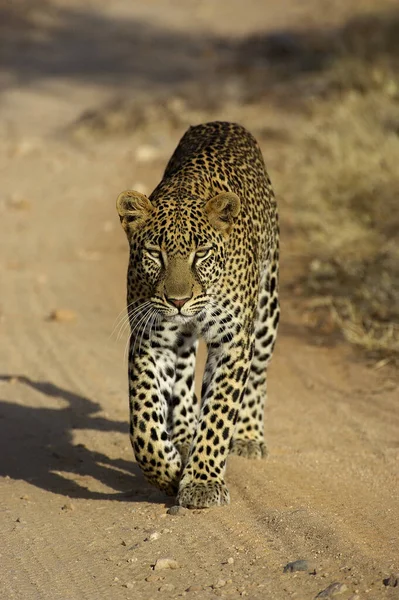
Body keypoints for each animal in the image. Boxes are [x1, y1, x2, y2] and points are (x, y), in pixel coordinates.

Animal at [116, 119, 282, 508]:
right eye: (155, 253)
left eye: (201, 253)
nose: (177, 301)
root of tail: (223, 122)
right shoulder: (151, 338)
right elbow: (144, 420)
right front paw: (167, 471)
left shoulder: (233, 341)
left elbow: (219, 412)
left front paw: (203, 482)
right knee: (182, 380)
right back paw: (183, 432)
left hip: (267, 310)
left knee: (258, 374)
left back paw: (248, 436)